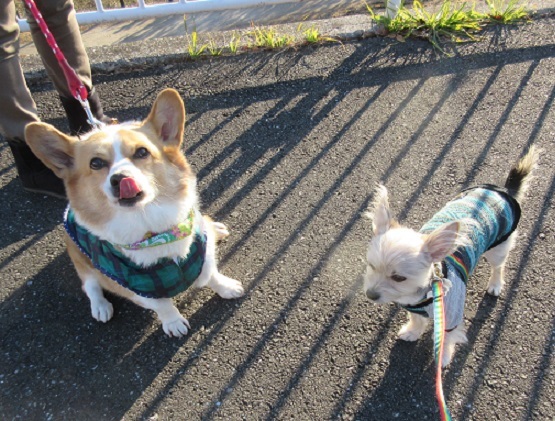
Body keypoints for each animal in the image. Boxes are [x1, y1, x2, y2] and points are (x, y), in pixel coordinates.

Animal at [24, 89, 243, 338]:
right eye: (96, 163)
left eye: (142, 152)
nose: (120, 179)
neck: (152, 227)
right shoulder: (135, 287)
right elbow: (162, 305)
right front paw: (173, 322)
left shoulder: (201, 253)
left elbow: (211, 275)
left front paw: (228, 287)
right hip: (79, 256)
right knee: (90, 285)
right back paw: (100, 306)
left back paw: (215, 227)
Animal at [364, 147, 540, 364]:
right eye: (371, 266)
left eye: (398, 278)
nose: (370, 294)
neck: (423, 294)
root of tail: (503, 190)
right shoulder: (413, 308)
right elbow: (417, 320)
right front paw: (413, 332)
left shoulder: (452, 317)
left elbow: (446, 338)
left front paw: (444, 356)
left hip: (499, 246)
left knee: (498, 266)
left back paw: (495, 284)